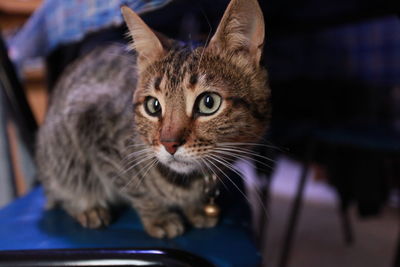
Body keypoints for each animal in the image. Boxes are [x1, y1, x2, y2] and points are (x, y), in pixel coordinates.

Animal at [36, 0, 270, 240]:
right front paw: (159, 217)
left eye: (208, 103)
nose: (169, 144)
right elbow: (135, 188)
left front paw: (196, 208)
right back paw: (88, 207)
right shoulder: (93, 124)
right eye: (153, 106)